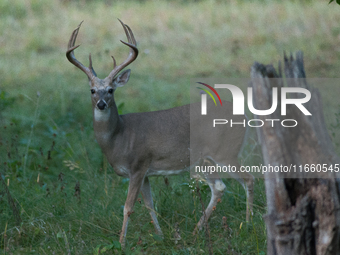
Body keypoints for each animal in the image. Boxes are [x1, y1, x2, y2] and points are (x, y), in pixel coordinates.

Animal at [66, 19, 254, 247]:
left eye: (111, 90)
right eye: (92, 90)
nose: (101, 104)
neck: (119, 137)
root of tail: (244, 116)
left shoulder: (138, 164)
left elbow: (128, 206)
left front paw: (121, 242)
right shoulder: (145, 172)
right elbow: (149, 204)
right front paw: (161, 236)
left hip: (225, 152)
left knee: (248, 179)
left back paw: (248, 224)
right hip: (205, 160)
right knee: (219, 187)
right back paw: (196, 231)